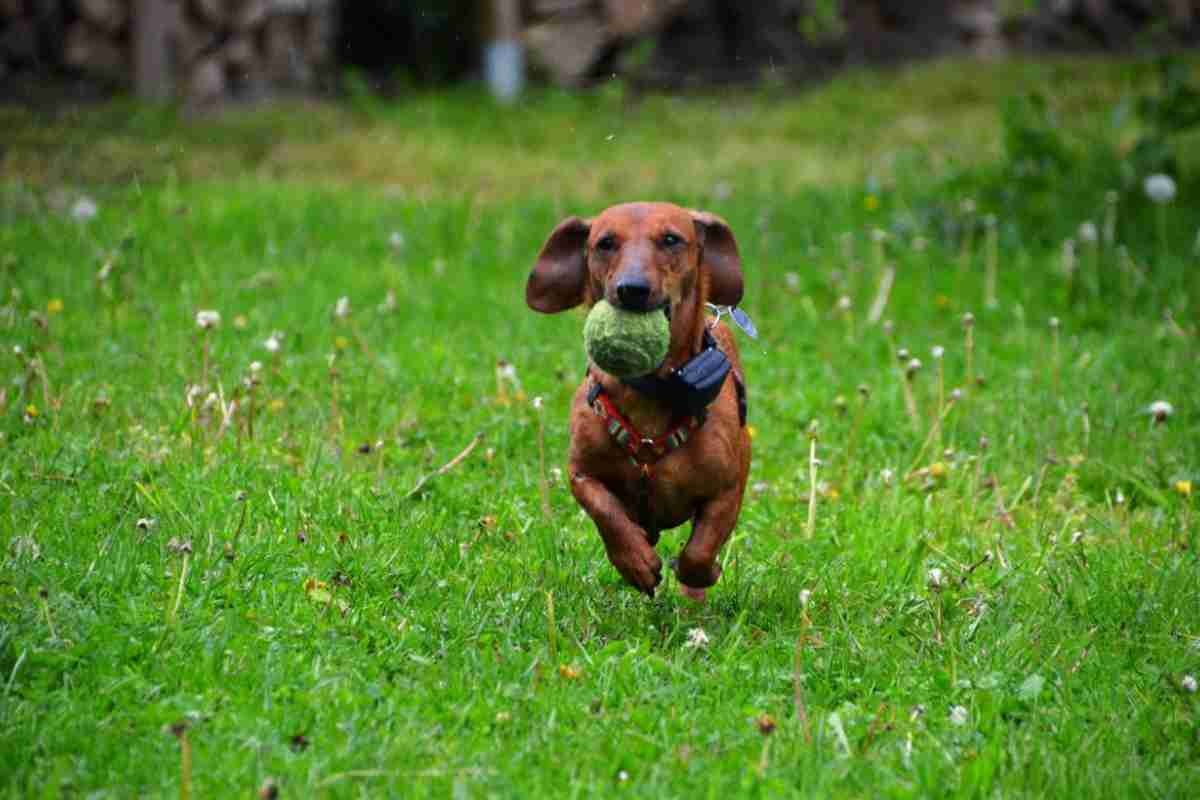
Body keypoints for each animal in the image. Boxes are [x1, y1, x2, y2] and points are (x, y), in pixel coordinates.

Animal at [525, 203, 748, 597]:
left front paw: (703, 573)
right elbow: (606, 512)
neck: (651, 392)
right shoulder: (581, 473)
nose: (632, 289)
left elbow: (700, 550)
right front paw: (635, 562)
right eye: (605, 243)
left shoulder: (726, 489)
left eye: (671, 239)